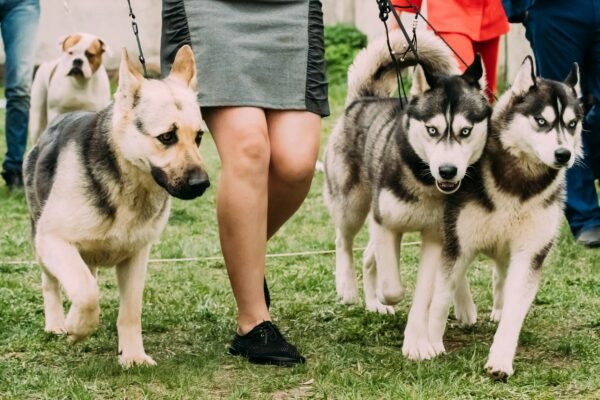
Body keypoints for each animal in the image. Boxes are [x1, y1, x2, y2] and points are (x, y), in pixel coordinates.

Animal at [23, 45, 210, 368]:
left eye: (198, 137)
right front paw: (77, 326)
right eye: (167, 137)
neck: (129, 182)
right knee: (54, 284)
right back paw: (57, 323)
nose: (202, 184)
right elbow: (86, 292)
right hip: (42, 244)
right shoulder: (53, 241)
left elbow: (129, 311)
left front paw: (132, 354)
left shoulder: (137, 257)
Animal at [326, 28, 490, 332]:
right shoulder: (384, 222)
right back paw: (349, 287)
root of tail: (365, 99)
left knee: (368, 256)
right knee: (344, 240)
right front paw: (384, 295)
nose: (447, 171)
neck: (424, 182)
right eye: (432, 130)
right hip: (351, 204)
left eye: (465, 131)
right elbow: (392, 287)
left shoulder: (441, 232)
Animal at [418, 57, 580, 380]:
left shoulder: (531, 253)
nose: (564, 154)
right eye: (541, 121)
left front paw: (501, 359)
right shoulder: (458, 243)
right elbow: (440, 297)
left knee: (502, 275)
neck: (519, 184)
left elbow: (516, 308)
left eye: (571, 124)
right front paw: (431, 342)